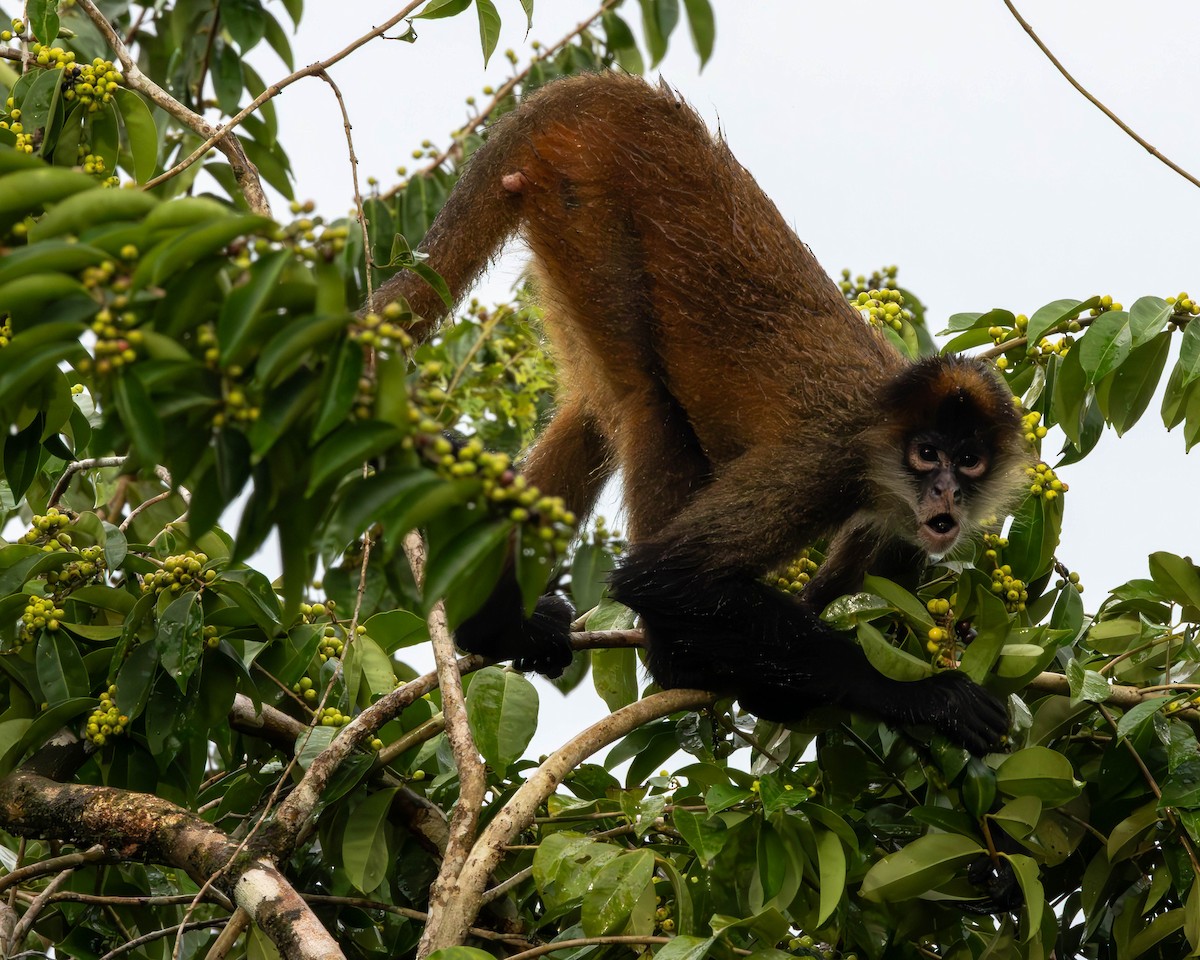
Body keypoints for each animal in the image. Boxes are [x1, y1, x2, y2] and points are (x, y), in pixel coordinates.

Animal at [369, 71, 1026, 757]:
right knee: (647, 401)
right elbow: (662, 580)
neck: (881, 442)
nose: (946, 491)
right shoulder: (825, 464)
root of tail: (615, 97)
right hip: (586, 203)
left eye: (969, 461)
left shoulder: (892, 519)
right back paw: (672, 659)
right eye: (927, 454)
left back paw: (492, 632)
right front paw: (922, 697)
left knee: (594, 408)